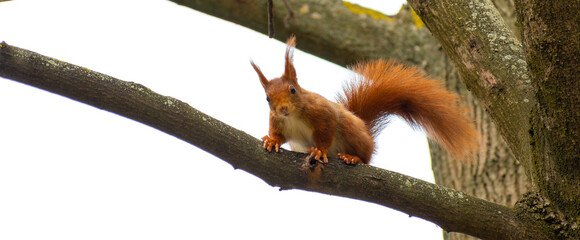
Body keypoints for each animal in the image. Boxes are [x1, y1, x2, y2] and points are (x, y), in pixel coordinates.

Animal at [251, 36, 478, 165]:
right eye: (267, 98)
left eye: (292, 90)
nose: (283, 109)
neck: (294, 117)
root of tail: (366, 132)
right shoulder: (278, 122)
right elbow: (279, 135)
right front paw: (272, 141)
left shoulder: (323, 113)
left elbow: (325, 132)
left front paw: (319, 150)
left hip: (352, 133)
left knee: (366, 157)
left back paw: (353, 157)